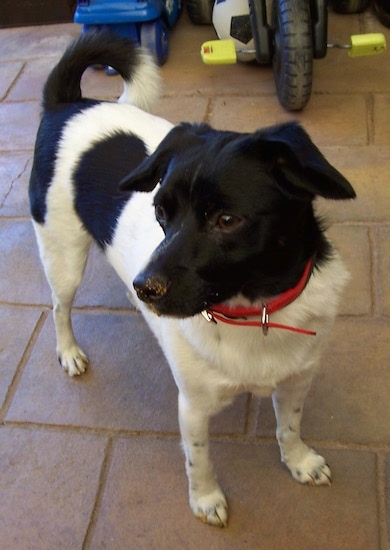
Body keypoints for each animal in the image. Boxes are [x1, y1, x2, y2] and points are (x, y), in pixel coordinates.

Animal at [29, 31, 354, 532]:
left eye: (227, 220)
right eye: (161, 212)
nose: (146, 287)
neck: (254, 311)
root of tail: (68, 105)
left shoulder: (297, 380)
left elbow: (289, 425)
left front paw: (298, 461)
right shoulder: (194, 406)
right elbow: (198, 460)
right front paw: (205, 500)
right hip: (62, 254)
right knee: (59, 307)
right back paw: (70, 351)